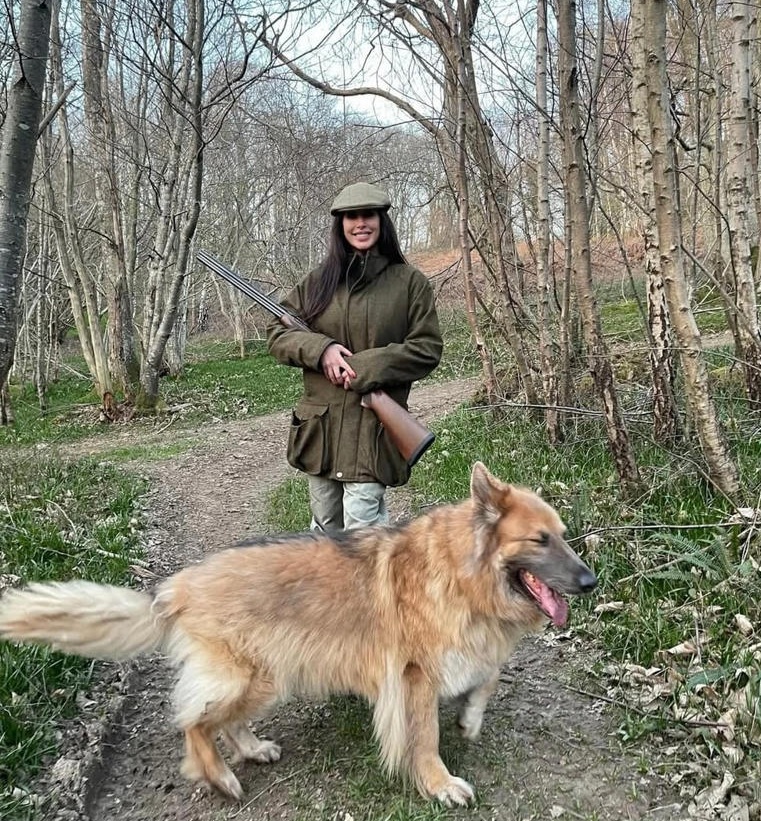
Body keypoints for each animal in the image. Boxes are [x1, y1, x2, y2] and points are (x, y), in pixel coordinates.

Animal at [0, 462, 596, 807]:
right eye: (539, 540)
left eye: (563, 536)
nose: (590, 581)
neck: (459, 570)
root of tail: (175, 589)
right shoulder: (414, 680)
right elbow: (425, 738)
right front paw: (438, 783)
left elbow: (487, 678)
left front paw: (471, 718)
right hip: (252, 677)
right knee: (194, 722)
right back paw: (219, 777)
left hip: (269, 677)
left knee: (223, 721)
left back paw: (251, 749)